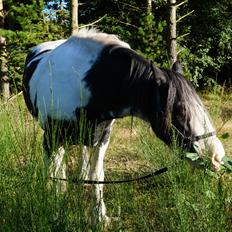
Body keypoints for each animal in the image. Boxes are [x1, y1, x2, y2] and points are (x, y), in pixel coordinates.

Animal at [22, 28, 226, 224]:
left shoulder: (102, 137)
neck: (84, 85)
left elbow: (97, 175)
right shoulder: (50, 137)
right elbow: (52, 175)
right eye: (180, 110)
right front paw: (55, 212)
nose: (217, 157)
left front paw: (99, 218)